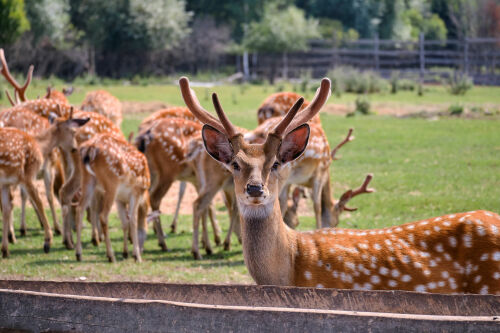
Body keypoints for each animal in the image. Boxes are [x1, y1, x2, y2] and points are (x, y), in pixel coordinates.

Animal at [74, 132, 148, 262]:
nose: (141, 251)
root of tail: (90, 148)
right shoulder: (136, 192)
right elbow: (133, 220)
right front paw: (137, 256)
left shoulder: (120, 199)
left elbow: (125, 222)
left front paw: (126, 253)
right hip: (112, 182)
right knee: (103, 216)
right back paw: (111, 256)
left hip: (88, 179)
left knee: (80, 209)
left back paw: (79, 254)